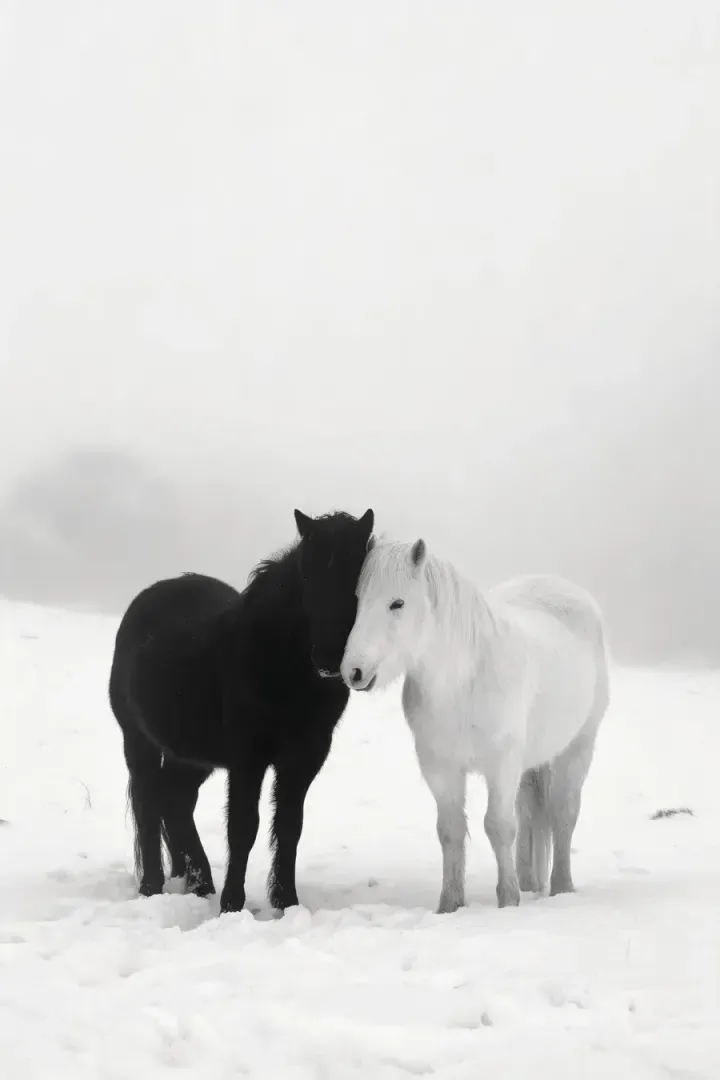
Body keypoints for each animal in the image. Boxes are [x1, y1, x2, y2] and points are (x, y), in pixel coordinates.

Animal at [109, 507, 374, 914]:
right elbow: (243, 826)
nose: (330, 659)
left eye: (359, 574)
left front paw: (286, 901)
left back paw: (199, 882)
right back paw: (153, 886)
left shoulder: (304, 758)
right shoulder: (248, 758)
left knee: (175, 801)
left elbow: (289, 826)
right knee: (149, 805)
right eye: (307, 574)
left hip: (192, 756)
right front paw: (233, 904)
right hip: (139, 741)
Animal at [340, 539, 609, 913]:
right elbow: (451, 830)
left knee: (563, 813)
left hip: (578, 746)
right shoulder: (440, 768)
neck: (462, 682)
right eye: (359, 598)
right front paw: (450, 905)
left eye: (397, 603)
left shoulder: (502, 764)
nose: (353, 672)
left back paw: (561, 887)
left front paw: (508, 899)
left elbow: (498, 826)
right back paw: (530, 882)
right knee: (530, 813)